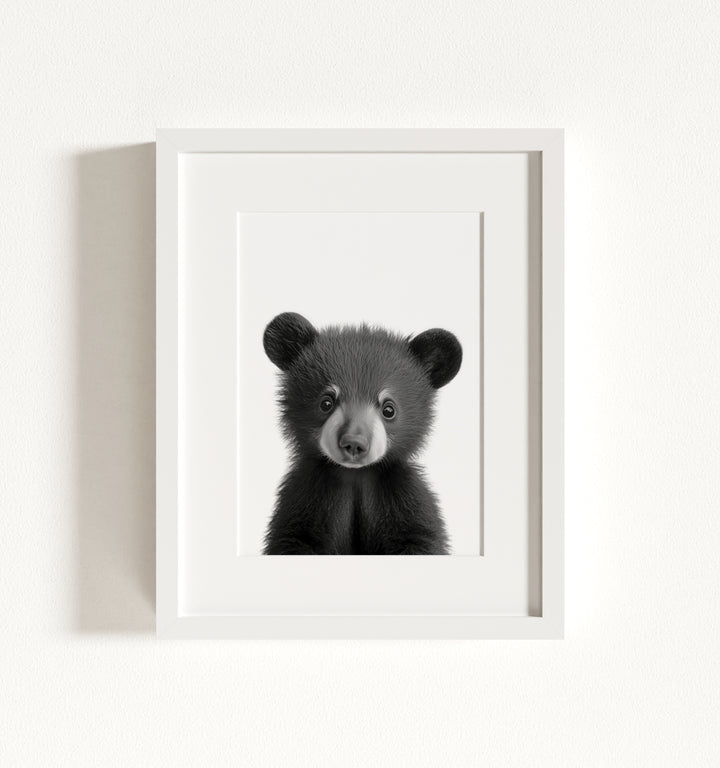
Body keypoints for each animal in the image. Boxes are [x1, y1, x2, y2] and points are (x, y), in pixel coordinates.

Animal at [262, 312, 462, 555]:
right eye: (326, 402)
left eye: (389, 409)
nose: (354, 443)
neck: (355, 476)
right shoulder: (307, 496)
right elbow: (294, 537)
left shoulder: (401, 495)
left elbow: (420, 536)